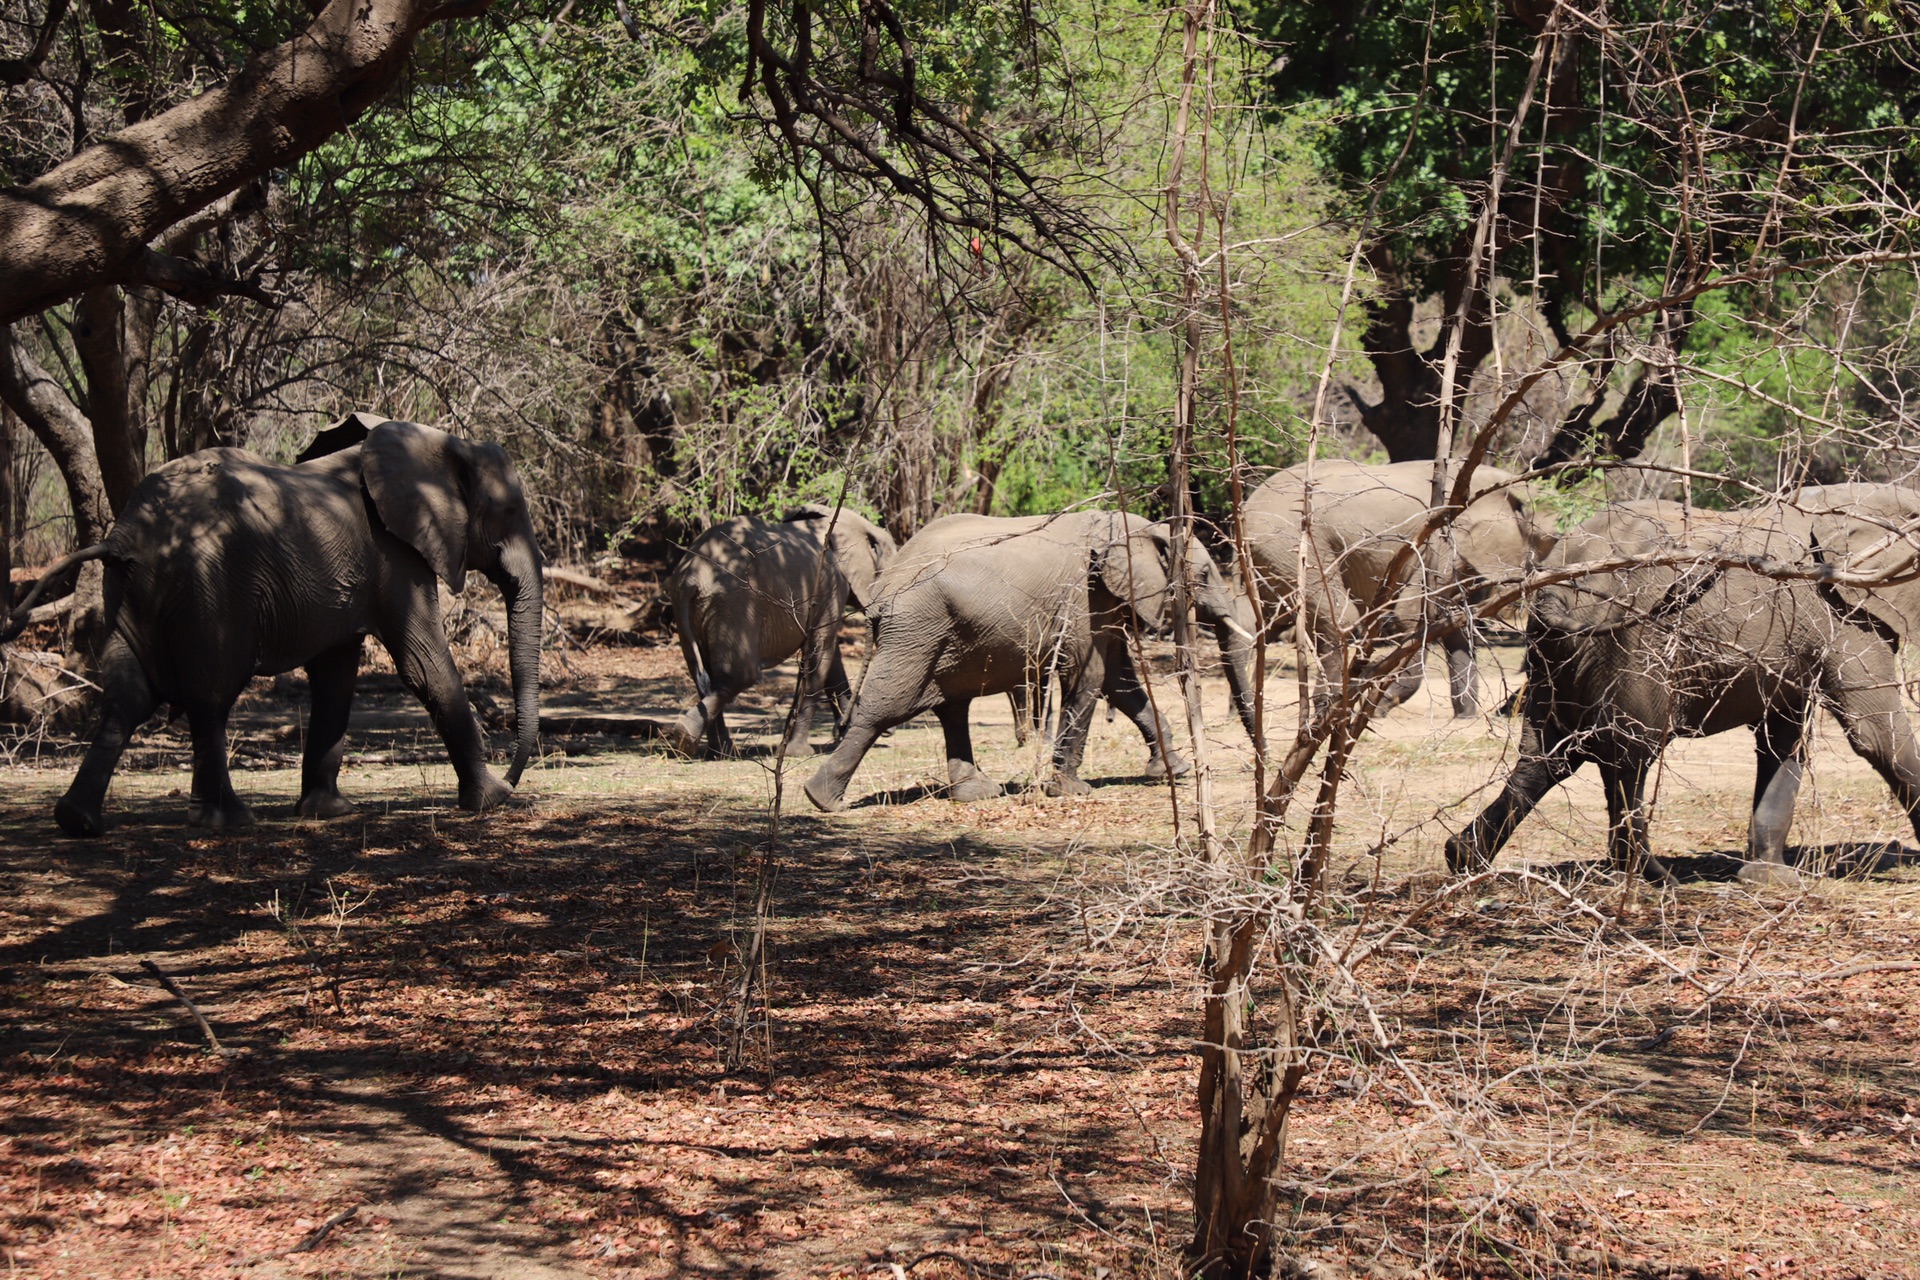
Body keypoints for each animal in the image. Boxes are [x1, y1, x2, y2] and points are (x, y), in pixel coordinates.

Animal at [7, 412, 549, 840]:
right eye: (507, 511)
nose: (514, 776)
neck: (439, 442)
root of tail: (122, 539)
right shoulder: (395, 555)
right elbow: (424, 665)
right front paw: (493, 800)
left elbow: (336, 677)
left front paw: (329, 813)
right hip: (208, 591)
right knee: (210, 697)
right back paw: (227, 821)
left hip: (131, 594)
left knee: (128, 696)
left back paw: (78, 821)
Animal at [664, 502, 894, 759]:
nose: (889, 733)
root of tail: (690, 576)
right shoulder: (830, 585)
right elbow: (819, 653)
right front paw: (799, 752)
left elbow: (830, 658)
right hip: (734, 604)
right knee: (738, 675)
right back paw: (687, 737)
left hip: (693, 608)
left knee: (702, 673)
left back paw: (718, 751)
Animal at [798, 510, 1259, 809]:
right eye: (1204, 576)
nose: (1260, 760)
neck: (1141, 527)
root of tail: (884, 583)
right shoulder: (1082, 596)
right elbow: (1089, 678)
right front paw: (1072, 792)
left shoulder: (1104, 601)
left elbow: (1120, 682)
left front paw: (1171, 770)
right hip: (915, 628)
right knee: (885, 708)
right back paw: (821, 801)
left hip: (938, 632)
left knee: (952, 707)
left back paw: (978, 794)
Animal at [1236, 460, 1551, 721]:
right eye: (1548, 539)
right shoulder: (1438, 546)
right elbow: (1416, 617)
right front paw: (1378, 708)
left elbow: (1459, 628)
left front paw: (1466, 718)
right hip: (1291, 546)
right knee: (1338, 620)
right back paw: (1327, 711)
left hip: (1267, 558)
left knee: (1256, 623)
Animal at [1443, 495, 1920, 886]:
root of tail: (1554, 588)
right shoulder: (1845, 610)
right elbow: (1877, 736)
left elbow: (1781, 740)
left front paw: (1768, 877)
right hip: (1632, 642)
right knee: (1630, 753)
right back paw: (1651, 877)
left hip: (1554, 655)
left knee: (1547, 757)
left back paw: (1464, 859)